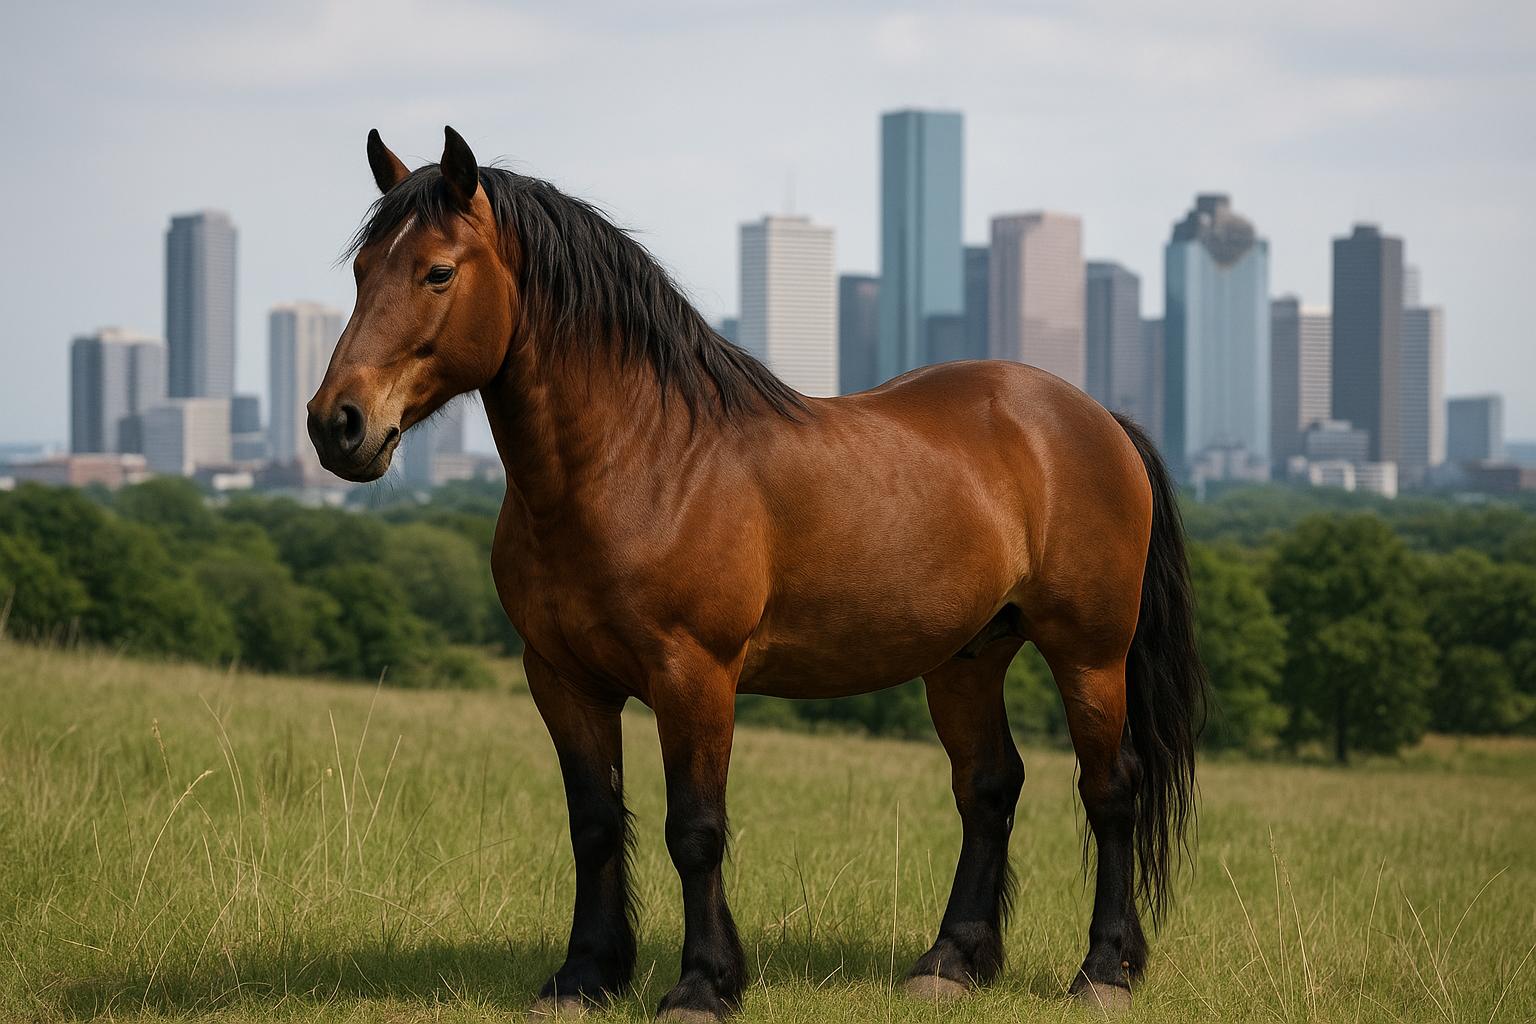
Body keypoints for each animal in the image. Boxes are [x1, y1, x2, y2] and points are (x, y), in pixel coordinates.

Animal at [308, 127, 1205, 1021]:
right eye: (361, 270)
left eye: (437, 271)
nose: (336, 423)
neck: (641, 460)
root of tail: (1096, 419)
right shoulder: (562, 679)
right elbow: (594, 824)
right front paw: (584, 976)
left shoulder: (694, 675)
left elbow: (696, 830)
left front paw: (703, 984)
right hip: (967, 658)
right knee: (989, 788)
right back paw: (950, 962)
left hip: (1089, 653)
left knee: (1110, 789)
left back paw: (1103, 971)